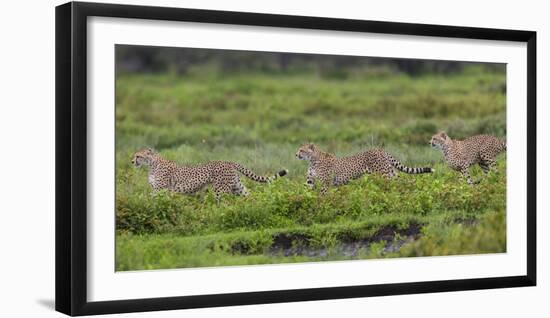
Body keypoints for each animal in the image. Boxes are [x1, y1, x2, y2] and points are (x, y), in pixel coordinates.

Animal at [133, 148, 288, 199]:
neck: (152, 165)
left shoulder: (160, 189)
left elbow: (153, 200)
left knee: (226, 203)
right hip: (238, 187)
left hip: (221, 190)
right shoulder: (159, 189)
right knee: (249, 197)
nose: (132, 161)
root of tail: (228, 161)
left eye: (138, 156)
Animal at [298, 143, 436, 194]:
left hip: (383, 174)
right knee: (401, 182)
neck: (312, 160)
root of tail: (380, 149)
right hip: (390, 172)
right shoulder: (310, 181)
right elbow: (307, 190)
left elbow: (323, 194)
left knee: (392, 184)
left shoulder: (326, 182)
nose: (296, 154)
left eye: (301, 150)